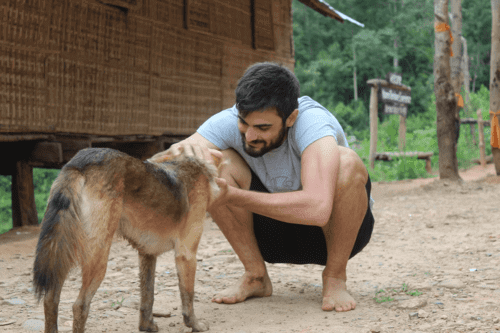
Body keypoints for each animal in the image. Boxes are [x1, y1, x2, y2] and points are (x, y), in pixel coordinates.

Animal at [31, 148, 219, 332]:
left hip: (61, 255)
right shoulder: (186, 254)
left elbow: (148, 297)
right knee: (80, 306)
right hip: (97, 260)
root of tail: (79, 163)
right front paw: (195, 325)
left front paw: (147, 326)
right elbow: (188, 297)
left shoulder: (147, 255)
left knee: (50, 300)